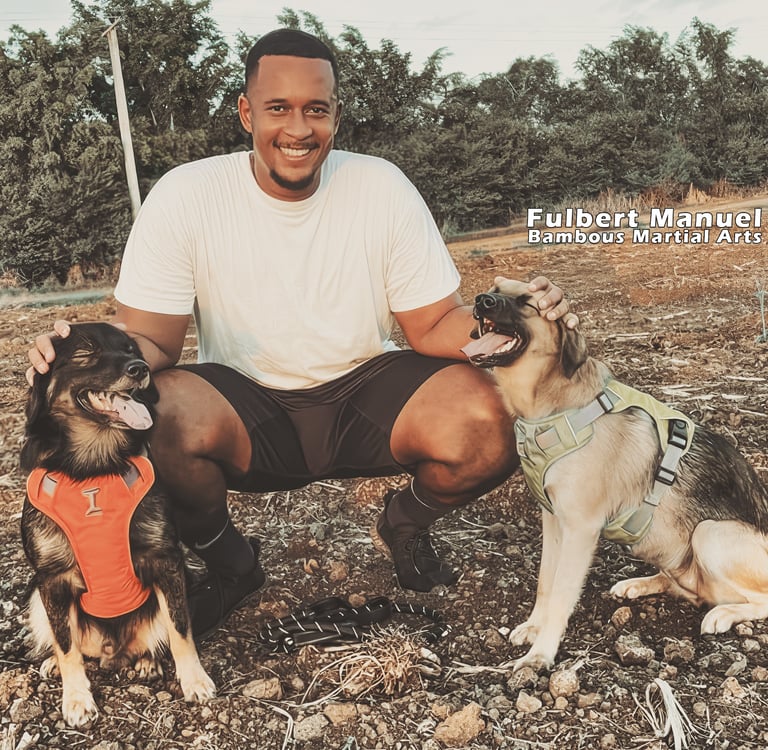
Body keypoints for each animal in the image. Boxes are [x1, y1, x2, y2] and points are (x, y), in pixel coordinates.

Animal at [20, 322, 215, 726]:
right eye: (85, 353)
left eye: (129, 349)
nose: (140, 368)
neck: (94, 466)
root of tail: (113, 652)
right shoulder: (51, 577)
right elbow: (66, 644)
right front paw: (76, 698)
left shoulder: (166, 560)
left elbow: (180, 628)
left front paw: (194, 680)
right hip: (36, 597)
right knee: (69, 641)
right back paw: (54, 664)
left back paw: (148, 661)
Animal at [462, 277, 768, 672]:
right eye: (497, 289)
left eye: (528, 301)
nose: (481, 301)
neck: (551, 407)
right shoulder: (553, 519)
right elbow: (546, 581)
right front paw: (533, 627)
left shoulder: (581, 528)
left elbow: (561, 592)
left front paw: (541, 653)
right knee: (688, 587)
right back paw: (640, 584)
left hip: (711, 533)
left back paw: (724, 614)